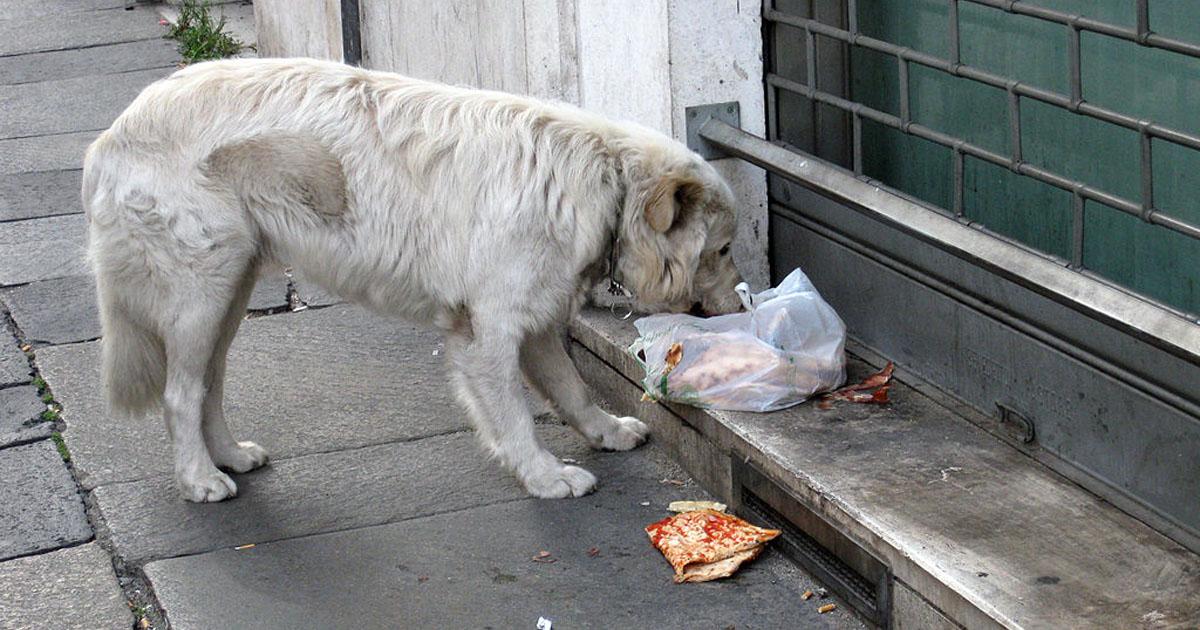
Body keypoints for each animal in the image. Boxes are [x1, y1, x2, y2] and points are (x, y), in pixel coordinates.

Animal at [84, 57, 739, 501]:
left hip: (228, 295)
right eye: (725, 249)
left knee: (208, 386)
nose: (738, 306)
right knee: (179, 393)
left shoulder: (534, 323)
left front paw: (606, 433)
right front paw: (545, 476)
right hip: (202, 294)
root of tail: (112, 134)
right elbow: (516, 415)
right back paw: (199, 480)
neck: (603, 182)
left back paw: (229, 458)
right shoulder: (488, 332)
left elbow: (573, 390)